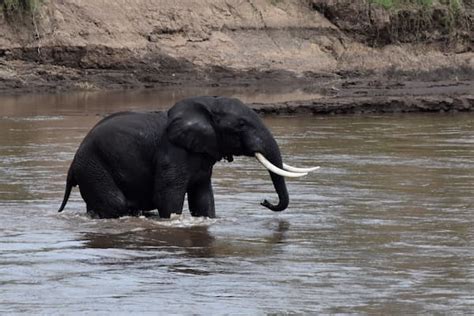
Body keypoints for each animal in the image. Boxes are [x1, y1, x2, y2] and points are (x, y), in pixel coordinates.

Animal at [59, 96, 318, 220]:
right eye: (241, 125)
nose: (264, 202)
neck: (207, 106)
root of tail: (72, 167)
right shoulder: (173, 152)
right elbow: (167, 196)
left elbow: (203, 197)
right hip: (94, 167)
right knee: (116, 204)